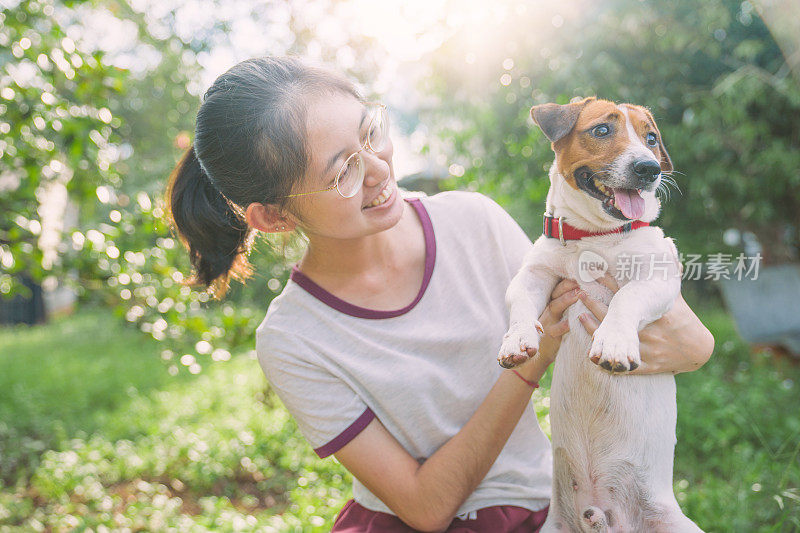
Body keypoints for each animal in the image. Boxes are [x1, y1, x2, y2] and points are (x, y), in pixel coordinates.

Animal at [500, 97, 708, 528]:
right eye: (601, 130)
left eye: (651, 138)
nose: (649, 168)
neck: (596, 236)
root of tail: (598, 514)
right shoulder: (533, 275)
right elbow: (522, 304)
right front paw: (517, 340)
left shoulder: (659, 277)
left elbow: (627, 298)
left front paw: (613, 342)